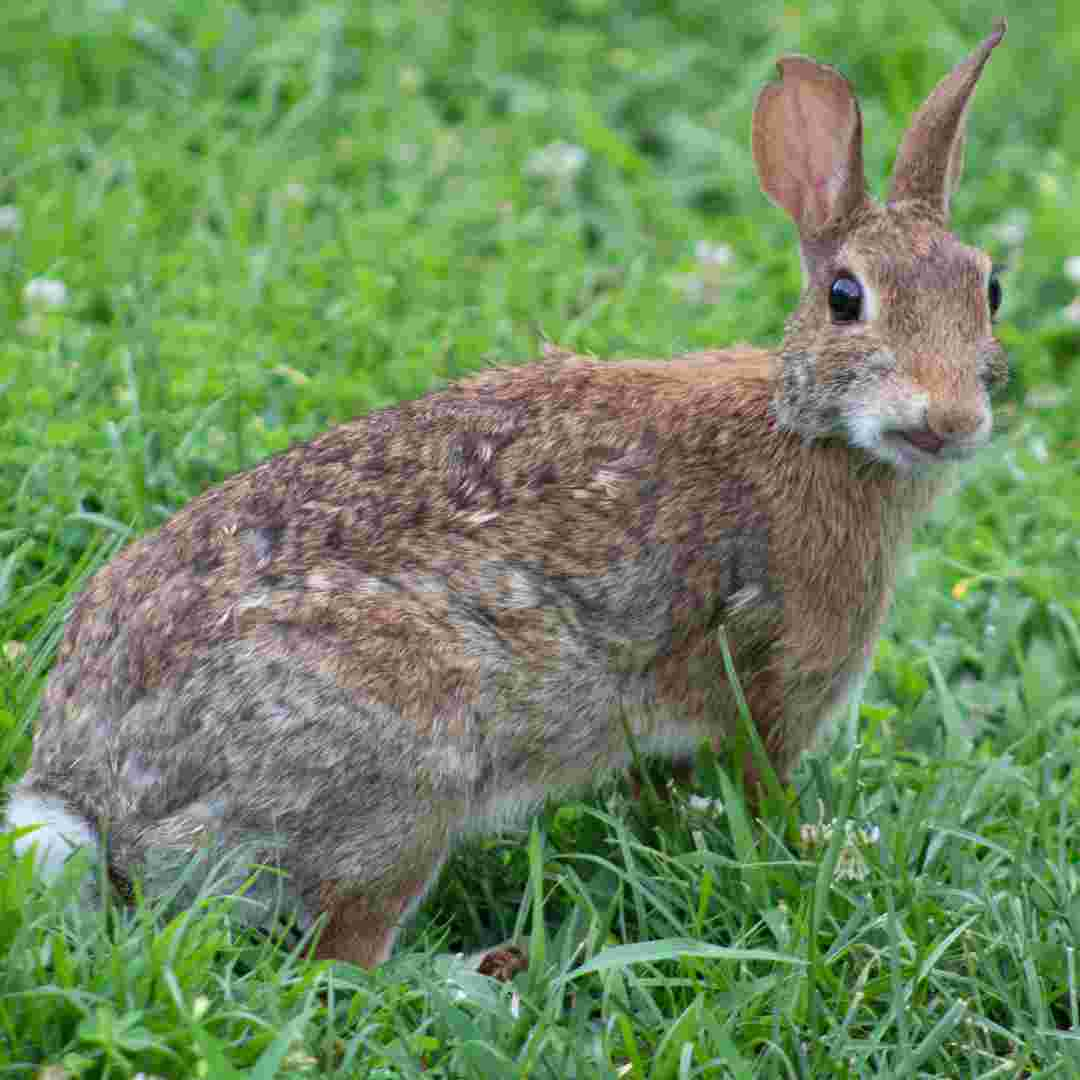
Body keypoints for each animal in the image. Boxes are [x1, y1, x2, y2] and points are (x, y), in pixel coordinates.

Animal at [4, 21, 1006, 967]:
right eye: (845, 297)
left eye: (990, 290)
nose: (951, 418)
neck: (806, 425)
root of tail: (94, 799)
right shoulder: (769, 690)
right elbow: (758, 794)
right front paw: (804, 853)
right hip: (402, 776)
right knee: (342, 955)